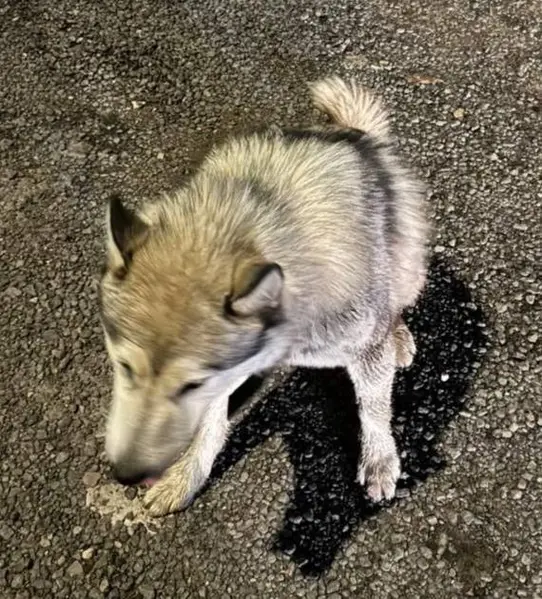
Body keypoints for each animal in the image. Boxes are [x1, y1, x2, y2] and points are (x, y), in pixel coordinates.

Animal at [98, 77, 429, 517]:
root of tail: (355, 135)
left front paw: (379, 456)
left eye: (190, 384)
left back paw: (399, 335)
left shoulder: (361, 341)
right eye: (124, 367)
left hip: (407, 262)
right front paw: (189, 473)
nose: (126, 474)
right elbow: (210, 423)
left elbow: (374, 405)